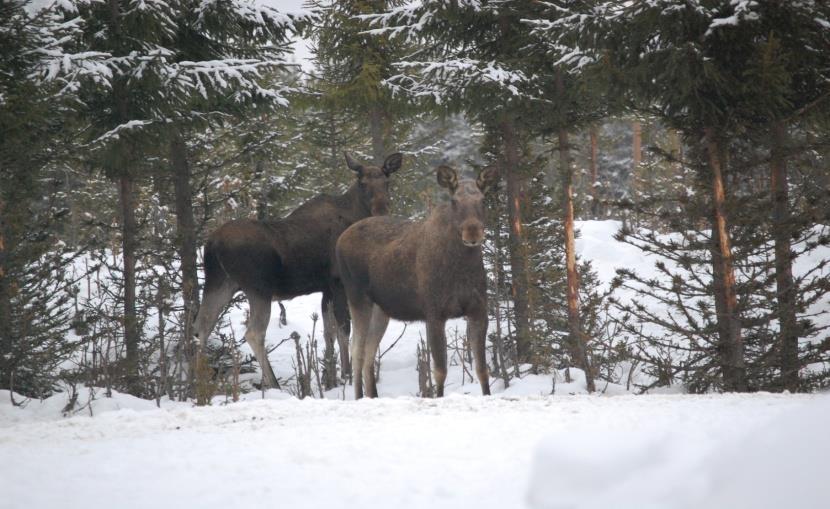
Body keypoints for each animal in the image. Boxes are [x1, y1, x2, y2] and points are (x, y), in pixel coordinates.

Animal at [193, 153, 406, 386]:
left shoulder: (326, 289)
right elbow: (344, 331)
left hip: (220, 282)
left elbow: (328, 333)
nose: (382, 210)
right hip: (258, 288)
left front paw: (328, 377)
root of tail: (212, 243)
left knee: (202, 326)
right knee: (253, 333)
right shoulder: (338, 282)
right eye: (363, 182)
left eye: (387, 182)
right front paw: (346, 376)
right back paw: (273, 382)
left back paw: (197, 381)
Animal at [338, 166, 500, 396]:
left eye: (483, 200)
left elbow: (482, 370)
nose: (472, 232)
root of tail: (340, 240)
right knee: (356, 351)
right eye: (454, 201)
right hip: (357, 298)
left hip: (381, 309)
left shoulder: (478, 310)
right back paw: (360, 397)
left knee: (369, 352)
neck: (462, 268)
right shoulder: (434, 313)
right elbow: (439, 371)